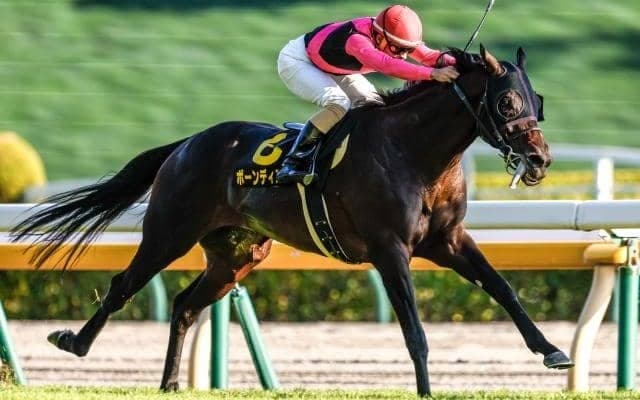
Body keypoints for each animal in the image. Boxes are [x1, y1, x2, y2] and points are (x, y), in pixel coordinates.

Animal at [11, 46, 572, 396]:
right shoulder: (390, 248)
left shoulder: (448, 241)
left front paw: (552, 351)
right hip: (170, 231)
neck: (415, 153)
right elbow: (414, 328)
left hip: (236, 255)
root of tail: (186, 143)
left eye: (539, 101)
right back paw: (74, 342)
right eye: (508, 101)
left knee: (185, 304)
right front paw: (426, 390)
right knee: (123, 285)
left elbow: (503, 288)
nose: (540, 160)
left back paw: (170, 383)